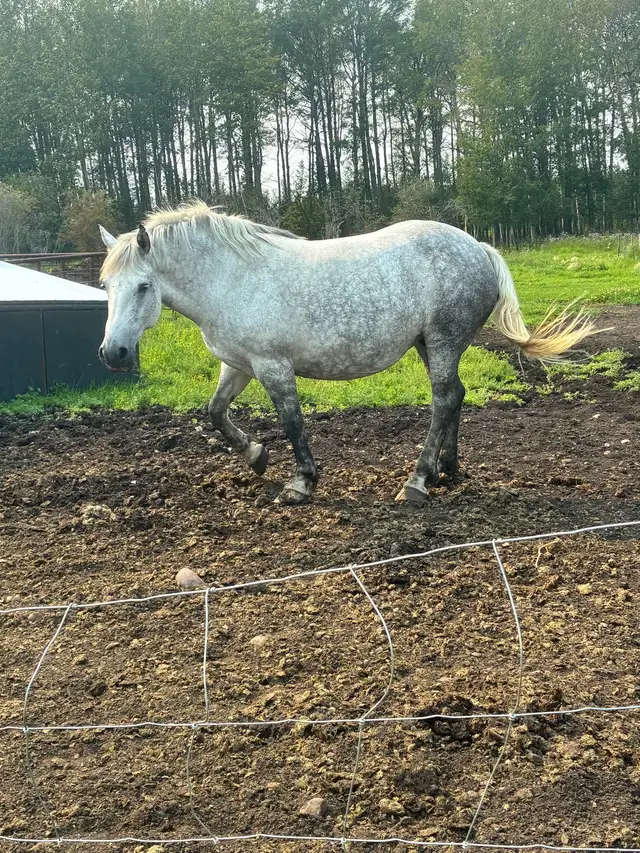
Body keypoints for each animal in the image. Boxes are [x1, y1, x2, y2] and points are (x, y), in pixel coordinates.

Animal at [98, 201, 598, 505]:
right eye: (106, 284)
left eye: (143, 286)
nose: (114, 353)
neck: (232, 278)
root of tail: (478, 246)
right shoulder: (238, 365)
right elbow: (216, 413)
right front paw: (256, 456)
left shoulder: (272, 366)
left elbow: (292, 423)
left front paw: (300, 483)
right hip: (430, 345)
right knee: (455, 396)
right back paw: (447, 470)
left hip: (442, 341)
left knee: (442, 400)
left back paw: (417, 480)